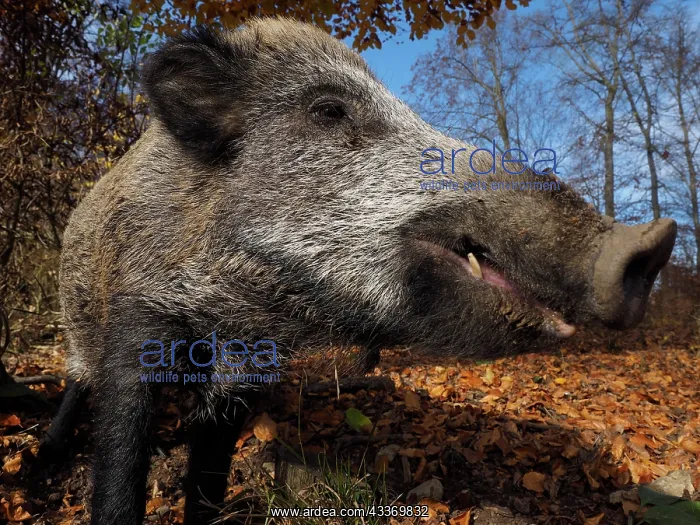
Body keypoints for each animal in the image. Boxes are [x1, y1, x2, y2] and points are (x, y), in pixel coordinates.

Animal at [42, 17, 677, 525]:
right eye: (328, 110)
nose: (652, 241)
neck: (238, 311)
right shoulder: (135, 321)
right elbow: (120, 461)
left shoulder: (240, 380)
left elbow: (210, 476)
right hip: (75, 320)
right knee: (75, 382)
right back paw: (42, 468)